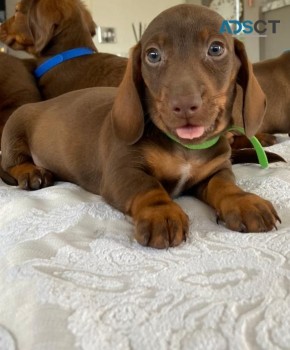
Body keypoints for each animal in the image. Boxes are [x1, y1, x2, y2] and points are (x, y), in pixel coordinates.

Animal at [0, 3, 280, 249]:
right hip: (15, 128)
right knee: (12, 163)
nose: (184, 105)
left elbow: (225, 185)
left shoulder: (217, 169)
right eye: (153, 55)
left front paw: (243, 201)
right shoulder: (122, 172)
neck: (184, 147)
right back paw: (32, 172)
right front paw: (162, 214)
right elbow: (149, 187)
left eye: (216, 48)